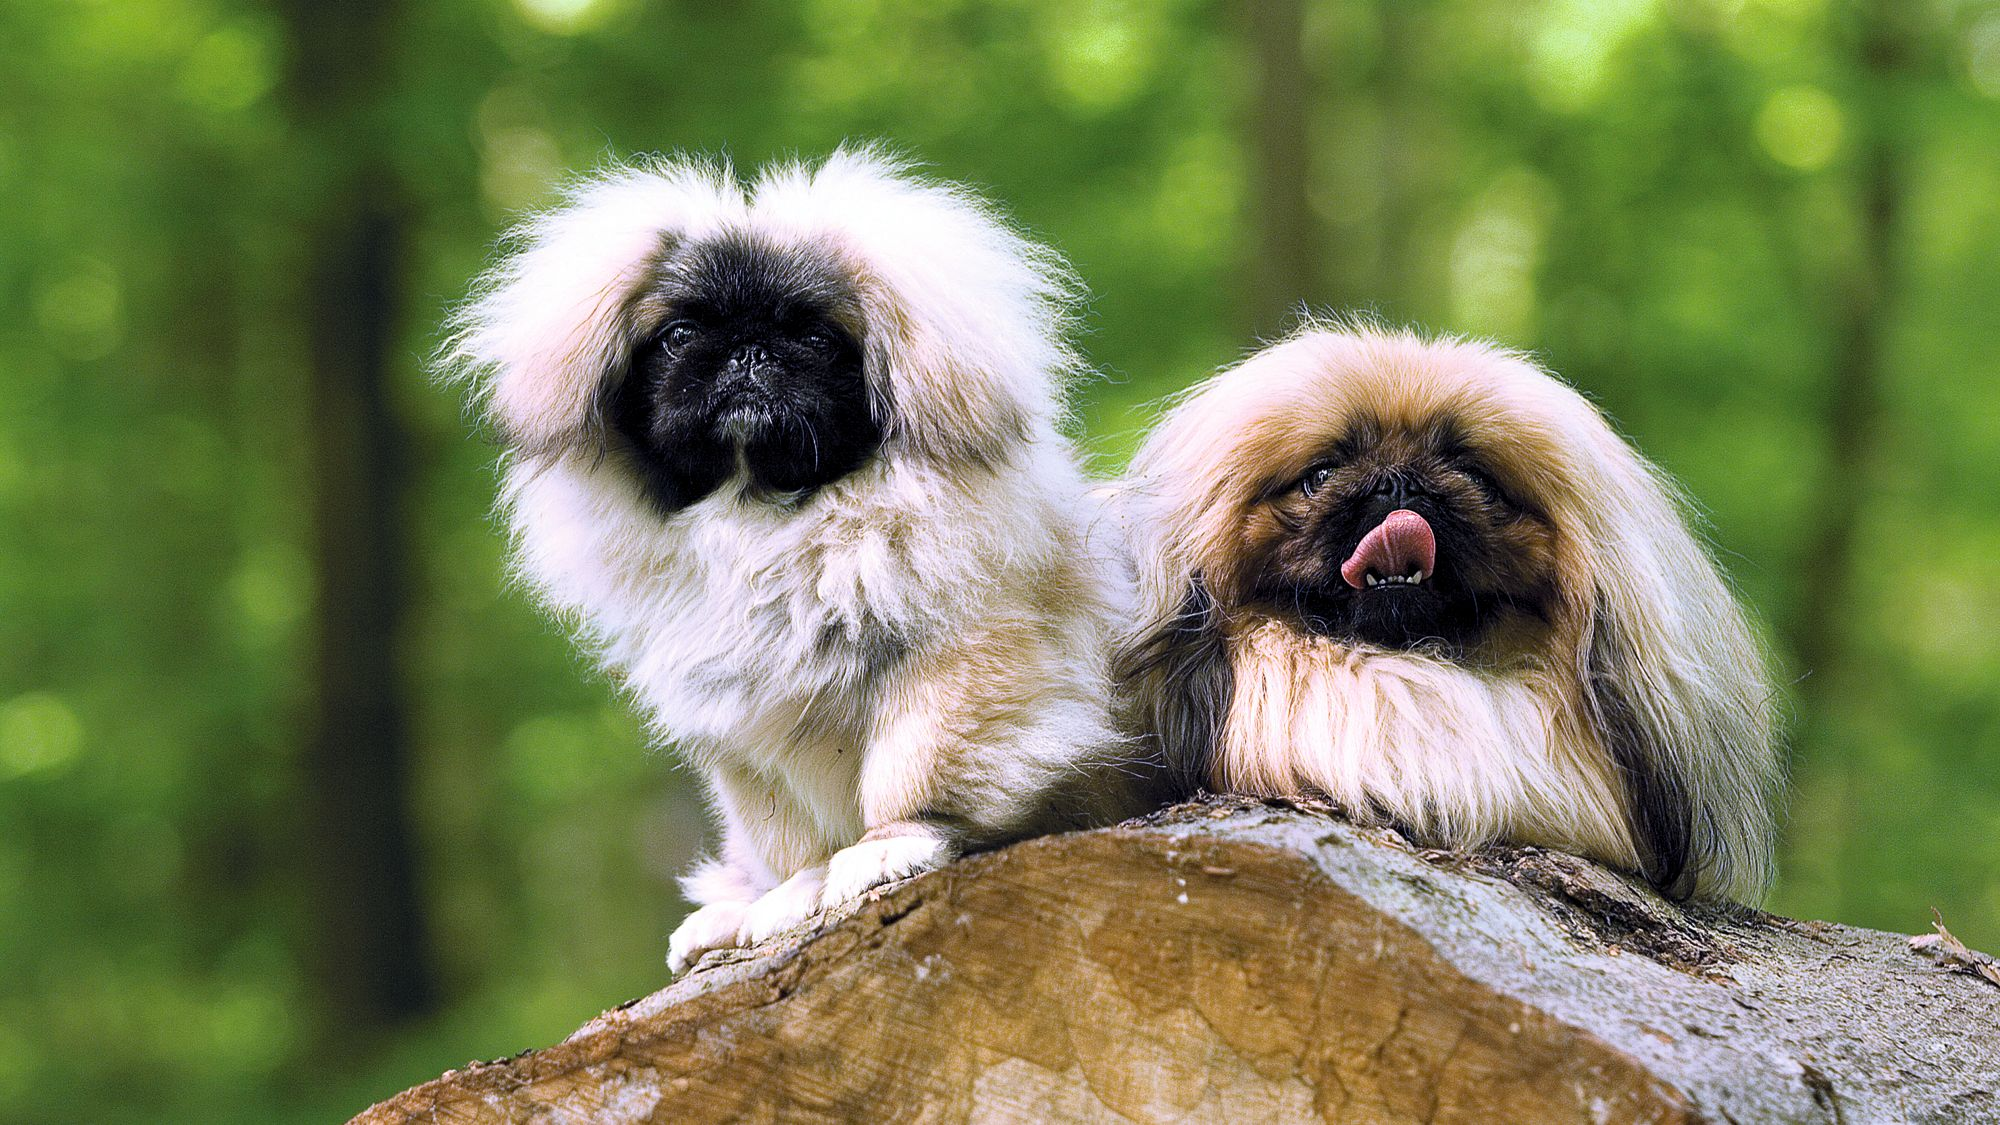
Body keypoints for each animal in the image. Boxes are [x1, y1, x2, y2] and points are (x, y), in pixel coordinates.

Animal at [446, 144, 1168, 968]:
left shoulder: (961, 666)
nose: (748, 352)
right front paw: (794, 892)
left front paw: (890, 845)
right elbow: (790, 835)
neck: (767, 523)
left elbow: (912, 772)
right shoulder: (744, 733)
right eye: (680, 336)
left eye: (817, 341)